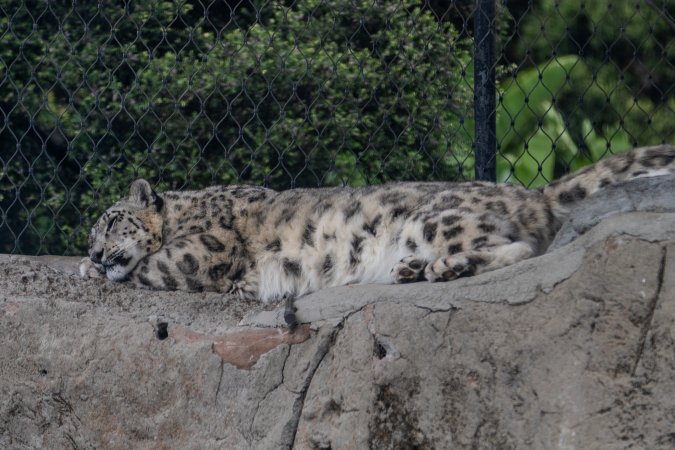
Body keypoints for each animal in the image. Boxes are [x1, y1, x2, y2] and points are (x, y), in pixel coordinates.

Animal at [80, 145, 674, 327]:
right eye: (93, 231)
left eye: (109, 222)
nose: (94, 250)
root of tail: (530, 192)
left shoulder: (200, 254)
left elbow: (150, 266)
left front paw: (92, 270)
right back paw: (412, 269)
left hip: (434, 218)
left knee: (520, 247)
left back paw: (443, 267)